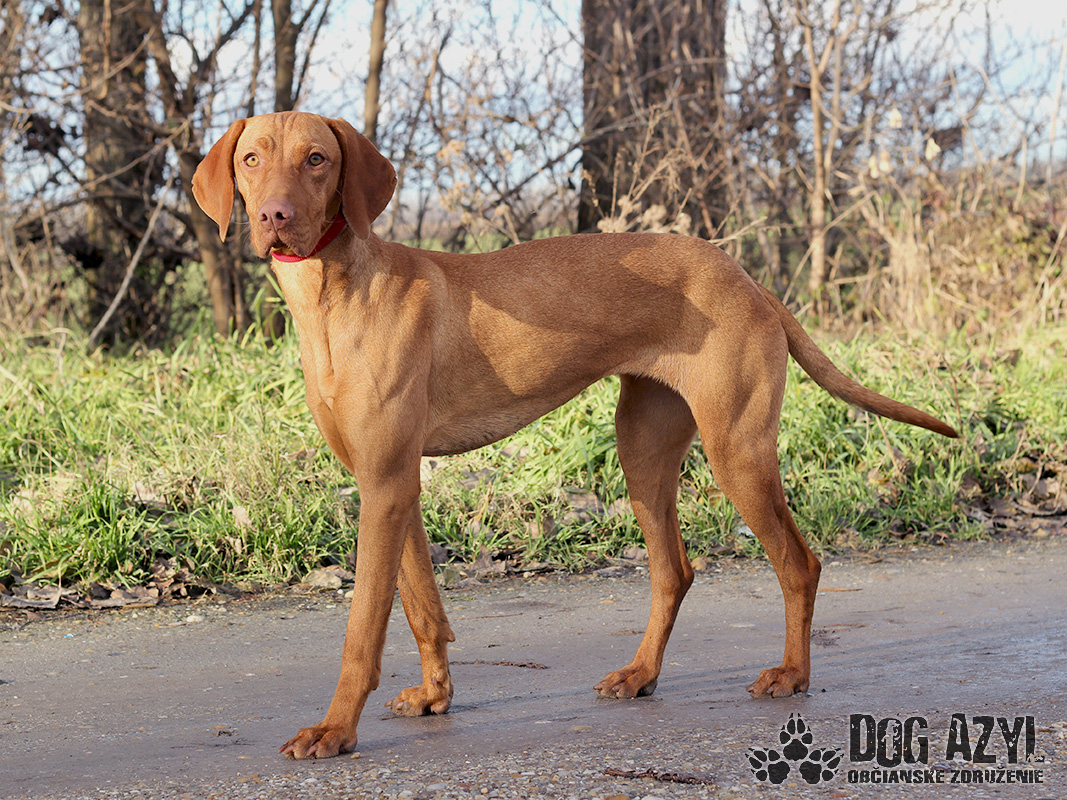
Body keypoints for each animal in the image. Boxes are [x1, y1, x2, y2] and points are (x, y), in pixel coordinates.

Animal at [192, 111, 958, 759]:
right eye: (253, 158)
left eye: (317, 159)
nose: (274, 216)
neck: (338, 294)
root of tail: (747, 278)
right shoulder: (389, 482)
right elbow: (419, 606)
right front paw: (436, 695)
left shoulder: (385, 483)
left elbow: (363, 627)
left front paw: (334, 729)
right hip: (642, 450)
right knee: (673, 570)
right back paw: (640, 674)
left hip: (736, 450)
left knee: (798, 563)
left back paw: (791, 675)